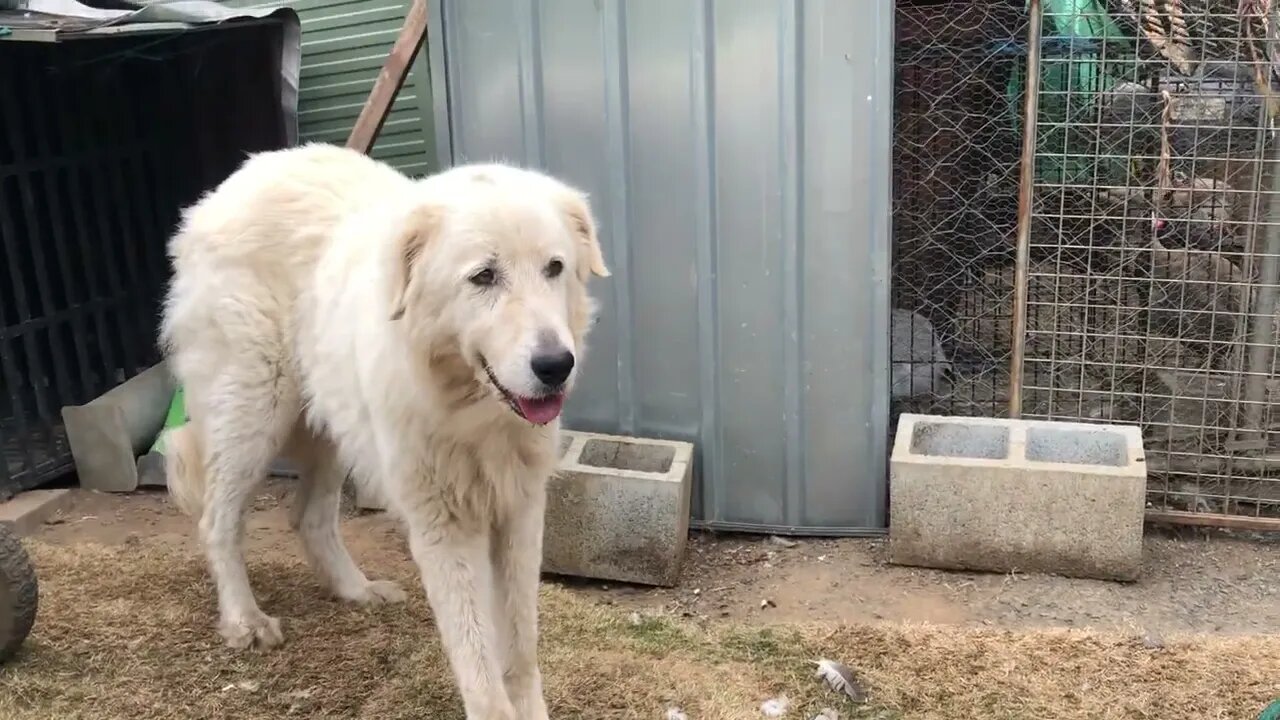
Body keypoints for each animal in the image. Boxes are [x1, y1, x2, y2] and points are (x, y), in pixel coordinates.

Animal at [160, 142, 609, 712]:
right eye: (484, 277)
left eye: (555, 268)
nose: (556, 366)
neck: (469, 409)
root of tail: (236, 179)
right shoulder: (443, 526)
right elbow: (479, 665)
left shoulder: (519, 509)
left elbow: (521, 652)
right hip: (252, 411)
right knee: (218, 522)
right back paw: (245, 620)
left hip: (331, 426)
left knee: (309, 518)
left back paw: (357, 590)